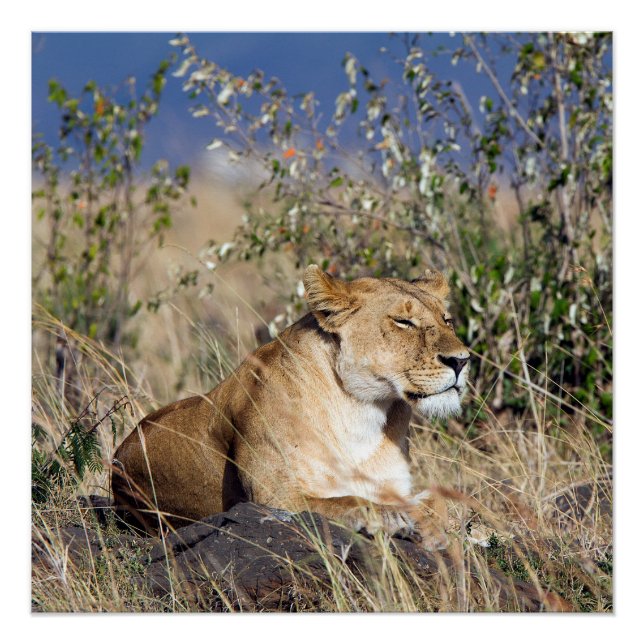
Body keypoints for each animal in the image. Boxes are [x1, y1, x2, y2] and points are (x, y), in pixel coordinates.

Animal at [112, 265, 470, 550]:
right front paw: (393, 518)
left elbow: (440, 500)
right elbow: (346, 502)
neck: (362, 411)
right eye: (403, 322)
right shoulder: (274, 500)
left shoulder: (395, 485)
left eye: (447, 320)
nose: (462, 361)